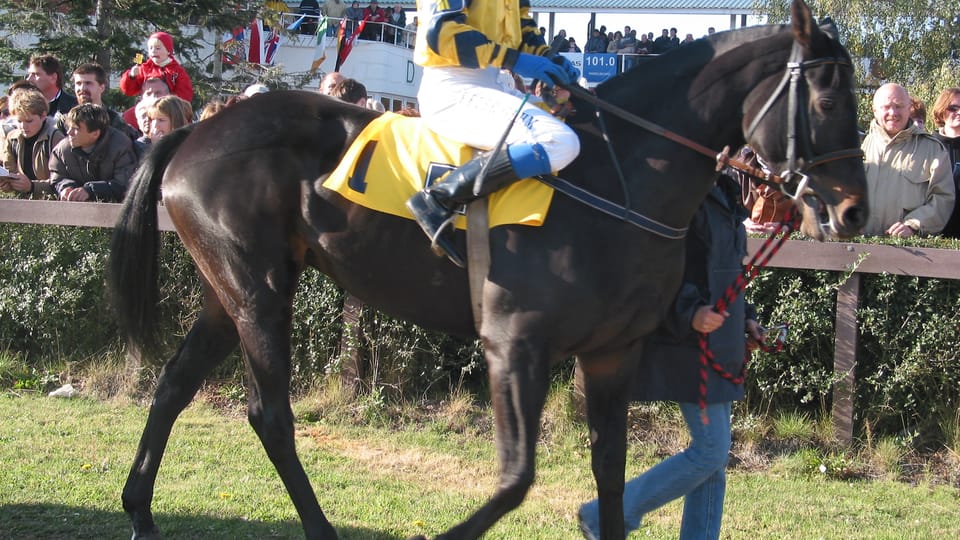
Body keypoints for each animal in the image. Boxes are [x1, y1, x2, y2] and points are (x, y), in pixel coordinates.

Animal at [109, 2, 868, 536]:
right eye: (829, 102)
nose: (855, 210)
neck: (620, 179)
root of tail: (198, 128)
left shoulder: (614, 353)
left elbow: (611, 471)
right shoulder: (514, 344)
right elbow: (515, 478)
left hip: (228, 293)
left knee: (173, 385)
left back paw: (141, 510)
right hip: (260, 293)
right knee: (270, 415)